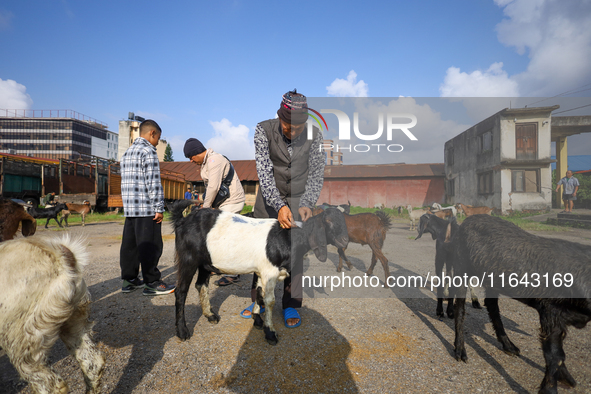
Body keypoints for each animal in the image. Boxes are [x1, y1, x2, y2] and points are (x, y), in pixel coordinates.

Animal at [170, 203, 346, 344]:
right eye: (328, 221)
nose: (344, 241)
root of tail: (182, 220)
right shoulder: (269, 271)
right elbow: (269, 301)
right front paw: (270, 332)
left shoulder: (262, 271)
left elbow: (260, 294)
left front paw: (257, 319)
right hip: (188, 258)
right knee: (181, 291)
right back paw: (182, 331)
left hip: (205, 263)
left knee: (201, 284)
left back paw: (210, 315)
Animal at [450, 215, 588, 394]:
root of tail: (467, 220)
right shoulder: (550, 312)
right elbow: (555, 355)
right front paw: (552, 388)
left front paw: (569, 380)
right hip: (461, 266)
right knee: (460, 306)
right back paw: (461, 352)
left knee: (492, 305)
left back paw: (511, 347)